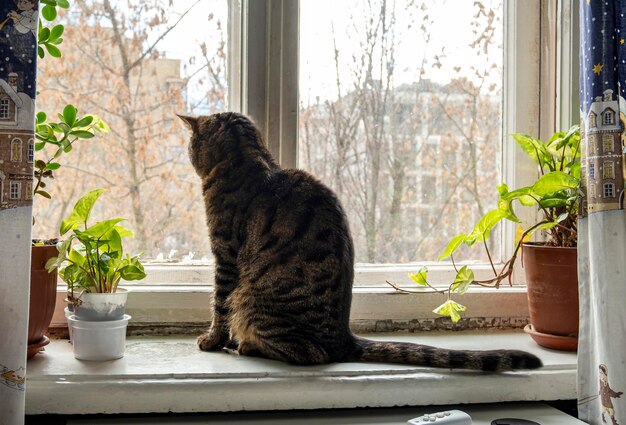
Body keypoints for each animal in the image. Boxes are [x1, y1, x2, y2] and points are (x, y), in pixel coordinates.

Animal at [178, 111, 540, 370]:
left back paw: (248, 345)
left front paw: (212, 340)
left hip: (252, 300)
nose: (188, 153)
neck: (249, 162)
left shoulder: (225, 255)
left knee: (310, 353)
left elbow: (219, 304)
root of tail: (344, 339)